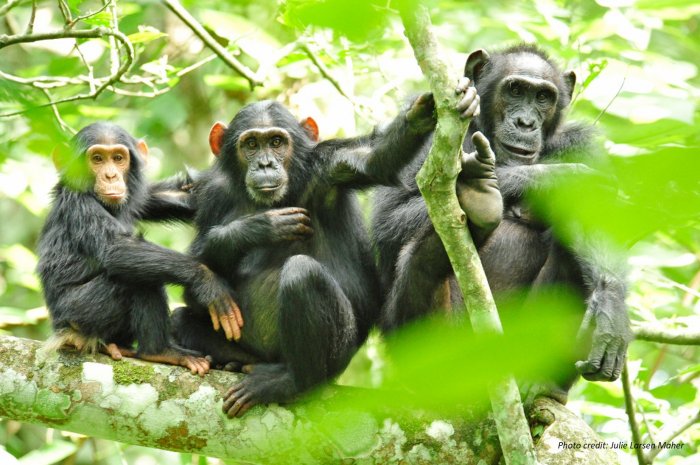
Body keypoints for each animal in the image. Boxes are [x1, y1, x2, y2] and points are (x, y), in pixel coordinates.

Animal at [38, 122, 242, 374]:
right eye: (97, 159)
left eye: (118, 158)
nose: (110, 175)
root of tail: (64, 332)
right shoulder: (78, 204)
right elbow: (117, 248)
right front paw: (207, 281)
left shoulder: (144, 195)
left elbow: (191, 195)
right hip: (79, 314)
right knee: (136, 278)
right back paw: (160, 352)